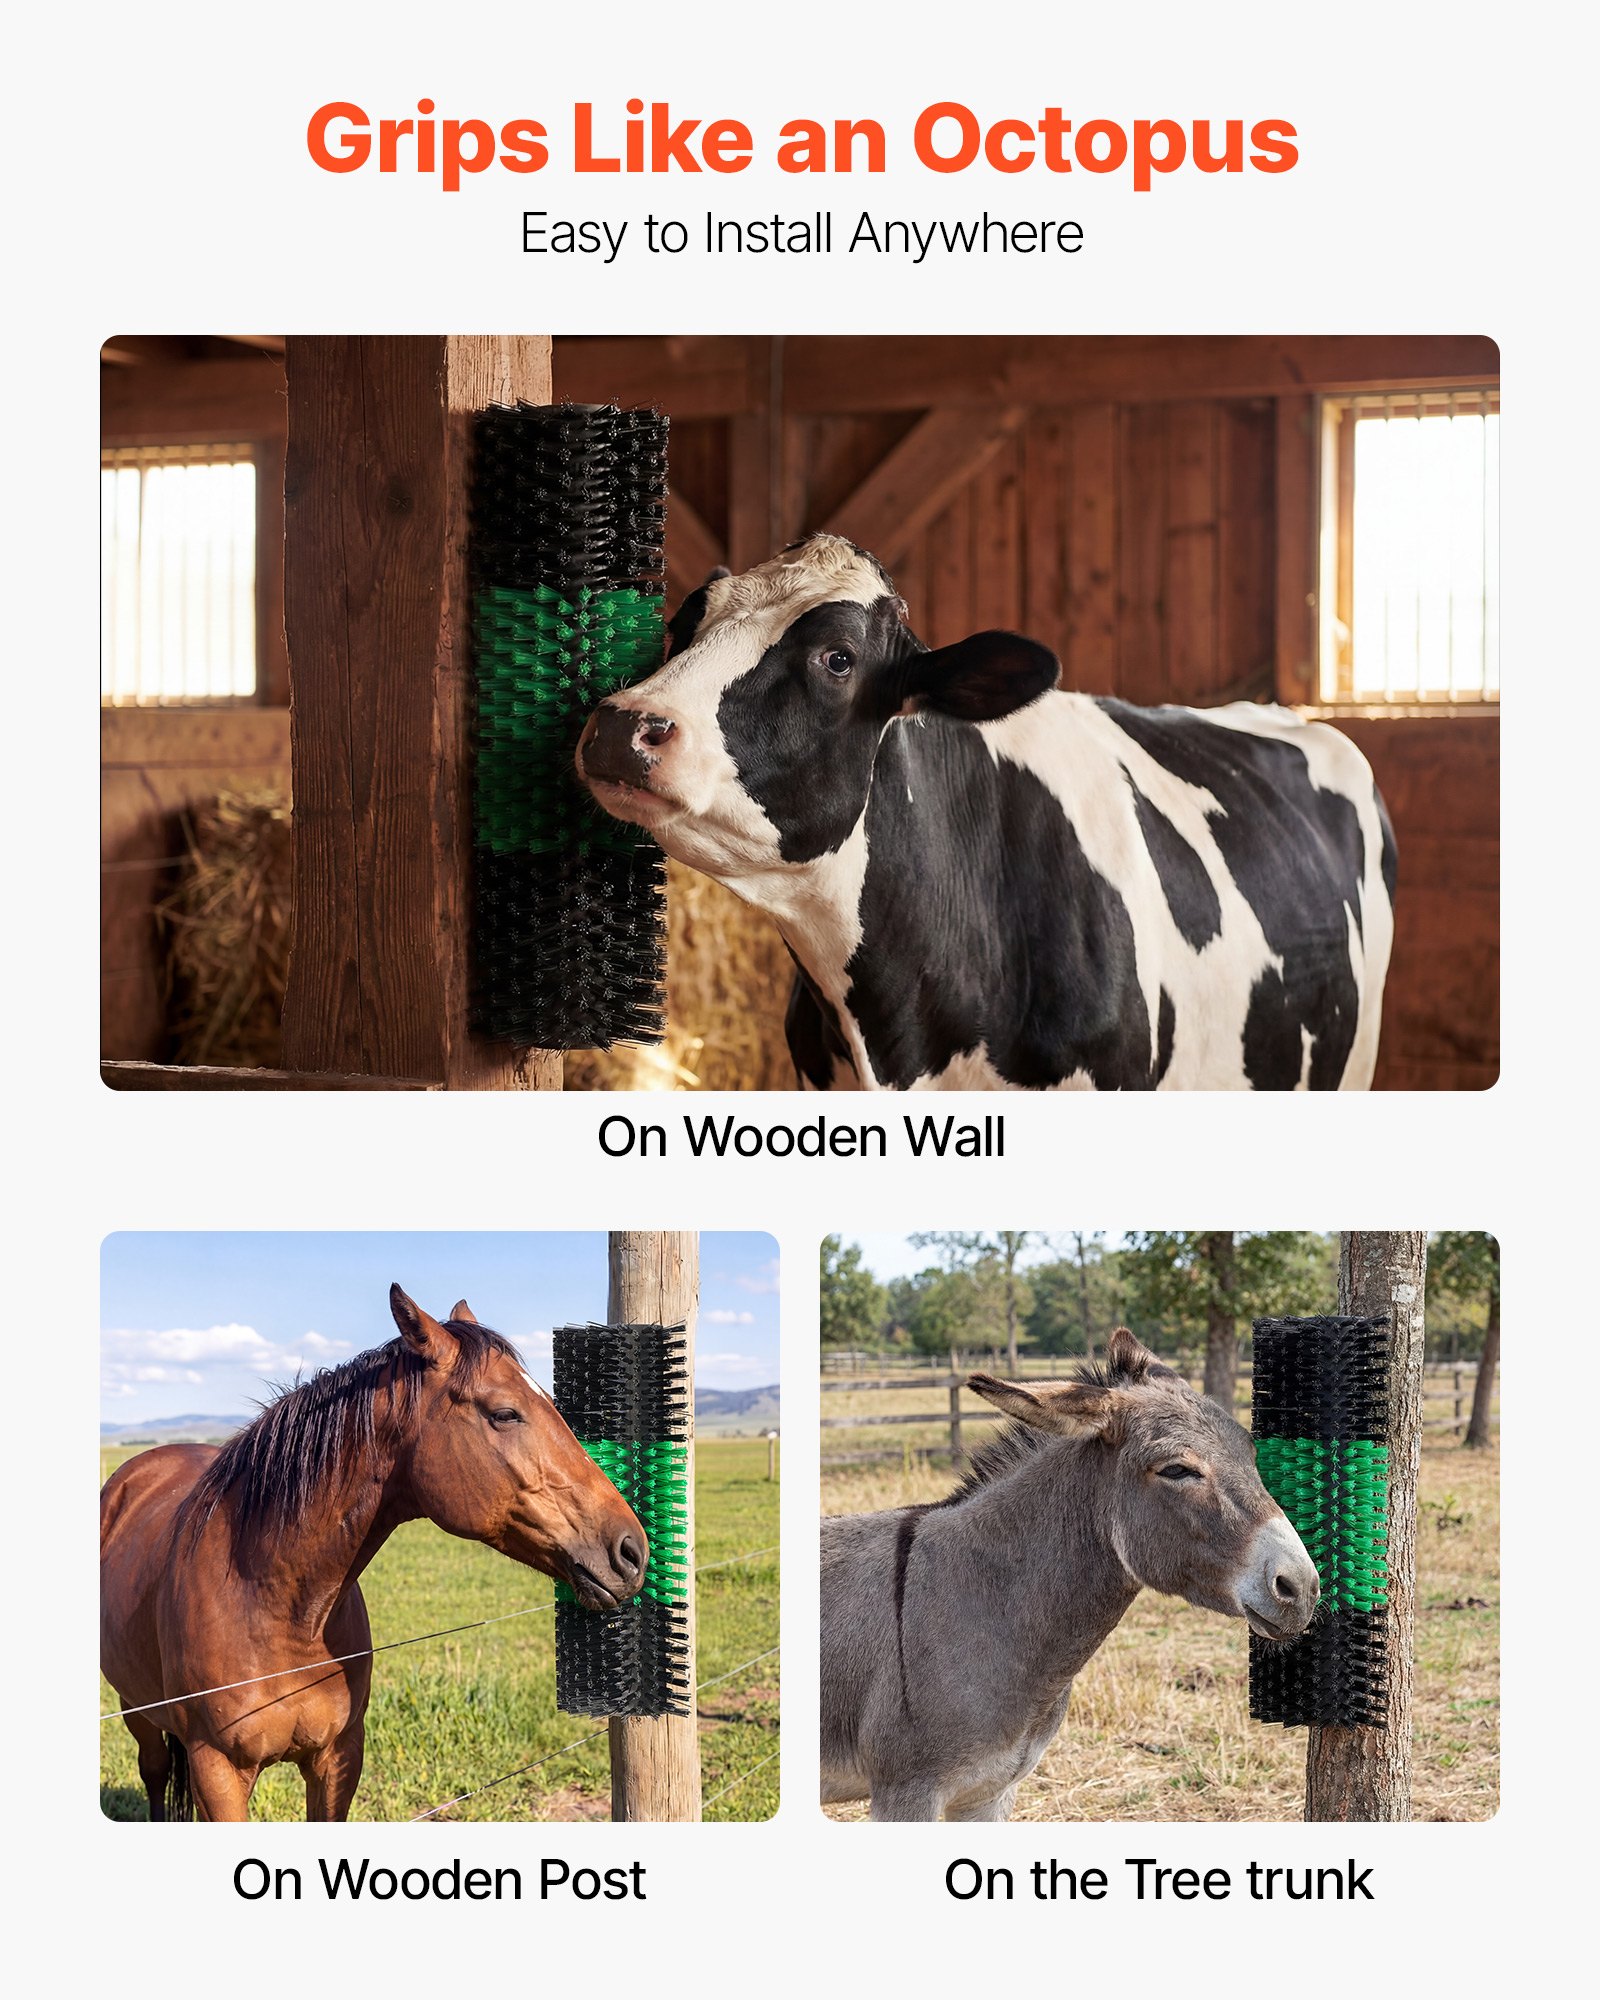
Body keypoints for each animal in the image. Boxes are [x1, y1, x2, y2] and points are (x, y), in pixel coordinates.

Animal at [100, 1283, 647, 1821]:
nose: (632, 1551)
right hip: (136, 1710)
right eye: (504, 1414)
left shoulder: (338, 1758)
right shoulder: (217, 1774)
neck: (273, 1606)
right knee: (153, 1773)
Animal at [819, 1326, 1320, 1821]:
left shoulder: (988, 1793)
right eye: (1177, 1470)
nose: (1302, 1587)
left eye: (1251, 1455)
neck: (985, 1605)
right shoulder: (906, 1793)